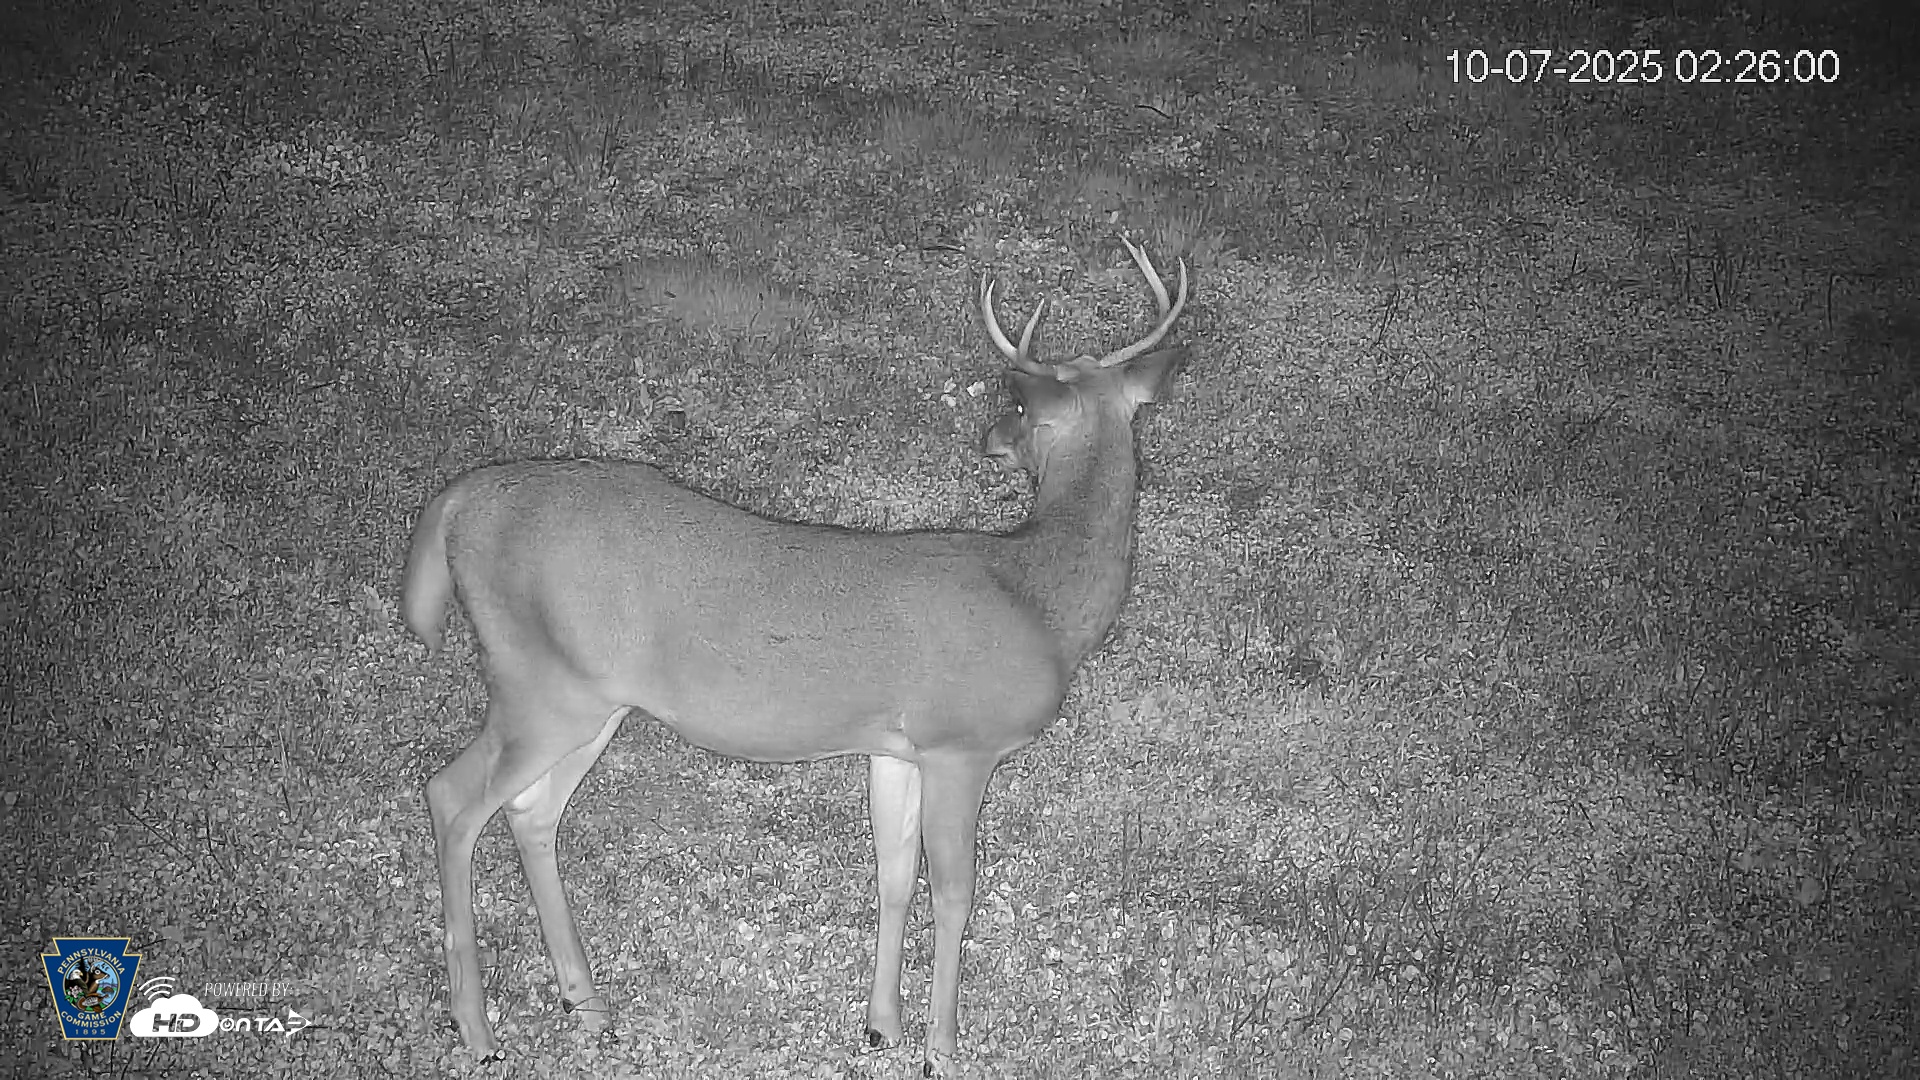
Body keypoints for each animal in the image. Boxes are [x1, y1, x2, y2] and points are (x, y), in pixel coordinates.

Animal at [401, 237, 1188, 1076]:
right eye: (1017, 405)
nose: (990, 440)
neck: (1039, 598)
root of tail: (459, 501)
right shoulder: (961, 744)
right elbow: (954, 892)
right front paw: (942, 1044)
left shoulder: (896, 750)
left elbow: (893, 877)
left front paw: (882, 1025)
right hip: (537, 683)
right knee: (452, 798)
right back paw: (477, 1027)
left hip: (587, 697)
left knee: (530, 811)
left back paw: (586, 1005)